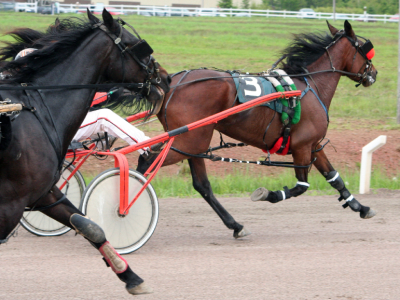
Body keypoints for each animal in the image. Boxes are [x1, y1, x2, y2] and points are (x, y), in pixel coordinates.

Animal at [0, 9, 170, 296]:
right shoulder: (11, 203)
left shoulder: (42, 193)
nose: (165, 79)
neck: (33, 109)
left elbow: (90, 226)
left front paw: (131, 277)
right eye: (138, 45)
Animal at [138, 20, 378, 239]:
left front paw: (361, 207)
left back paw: (235, 225)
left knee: (200, 184)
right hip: (189, 141)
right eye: (364, 49)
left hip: (193, 143)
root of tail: (171, 85)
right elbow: (301, 186)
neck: (310, 87)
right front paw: (269, 194)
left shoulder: (314, 145)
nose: (374, 73)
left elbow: (334, 178)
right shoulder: (302, 146)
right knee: (148, 162)